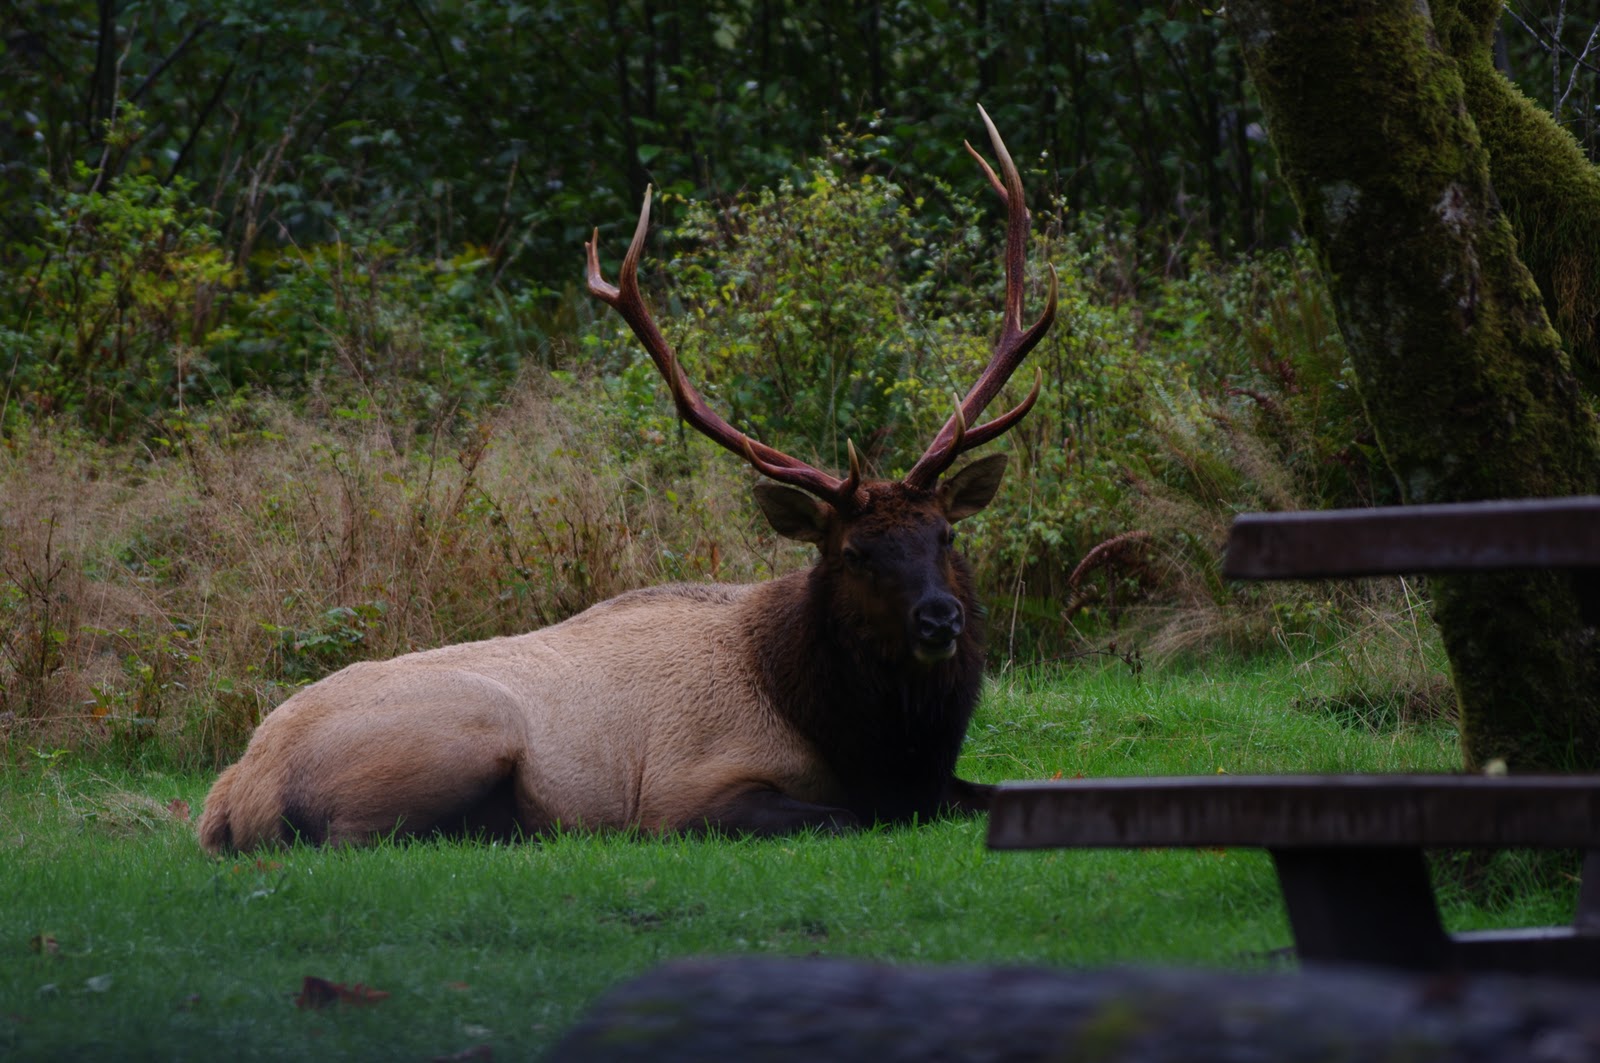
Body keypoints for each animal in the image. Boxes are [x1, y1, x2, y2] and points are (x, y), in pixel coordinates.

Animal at [196, 106, 1056, 852]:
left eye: (945, 535)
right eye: (852, 552)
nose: (940, 617)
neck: (863, 742)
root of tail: (233, 794)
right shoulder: (687, 790)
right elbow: (837, 817)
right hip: (465, 733)